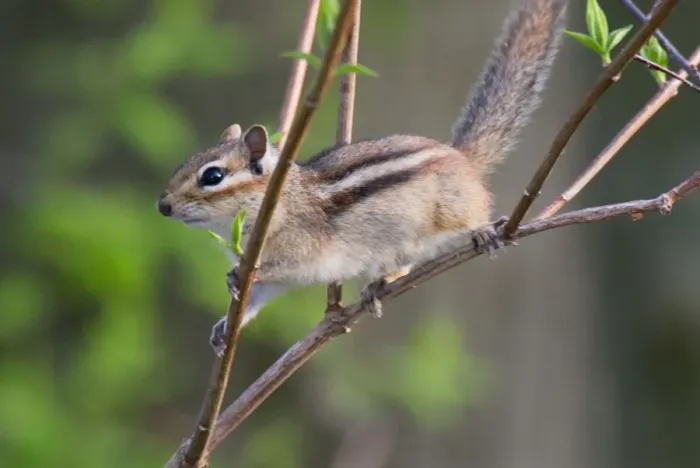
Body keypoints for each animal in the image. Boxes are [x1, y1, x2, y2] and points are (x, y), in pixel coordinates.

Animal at [157, 0, 568, 356]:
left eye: (212, 176)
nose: (163, 205)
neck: (277, 202)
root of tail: (461, 157)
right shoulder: (274, 282)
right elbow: (257, 297)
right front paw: (223, 326)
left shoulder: (301, 245)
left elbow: (277, 266)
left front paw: (235, 275)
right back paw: (375, 287)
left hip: (450, 210)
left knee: (473, 217)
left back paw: (483, 232)